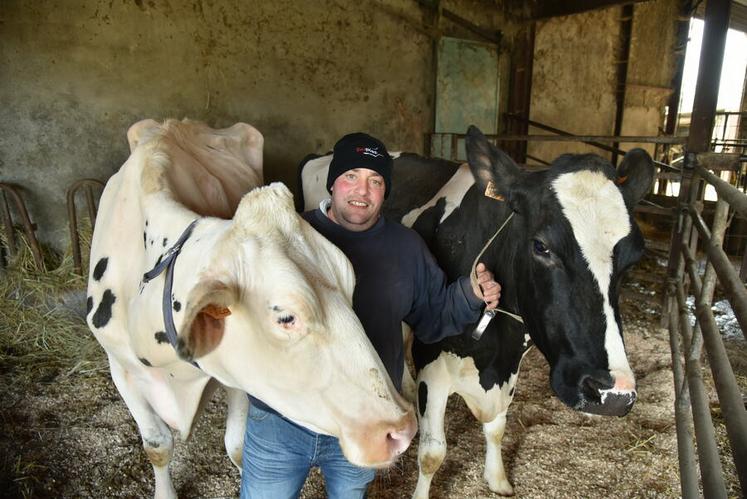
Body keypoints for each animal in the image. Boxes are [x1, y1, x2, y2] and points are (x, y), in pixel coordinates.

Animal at [88, 119, 418, 498]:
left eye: (351, 286)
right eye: (286, 317)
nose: (402, 429)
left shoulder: (241, 380)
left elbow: (237, 446)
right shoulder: (120, 367)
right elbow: (157, 446)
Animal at [298, 127, 656, 498]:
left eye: (634, 256)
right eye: (541, 246)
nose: (612, 395)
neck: (496, 352)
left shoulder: (510, 364)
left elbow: (496, 428)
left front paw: (497, 479)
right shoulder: (433, 364)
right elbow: (433, 452)